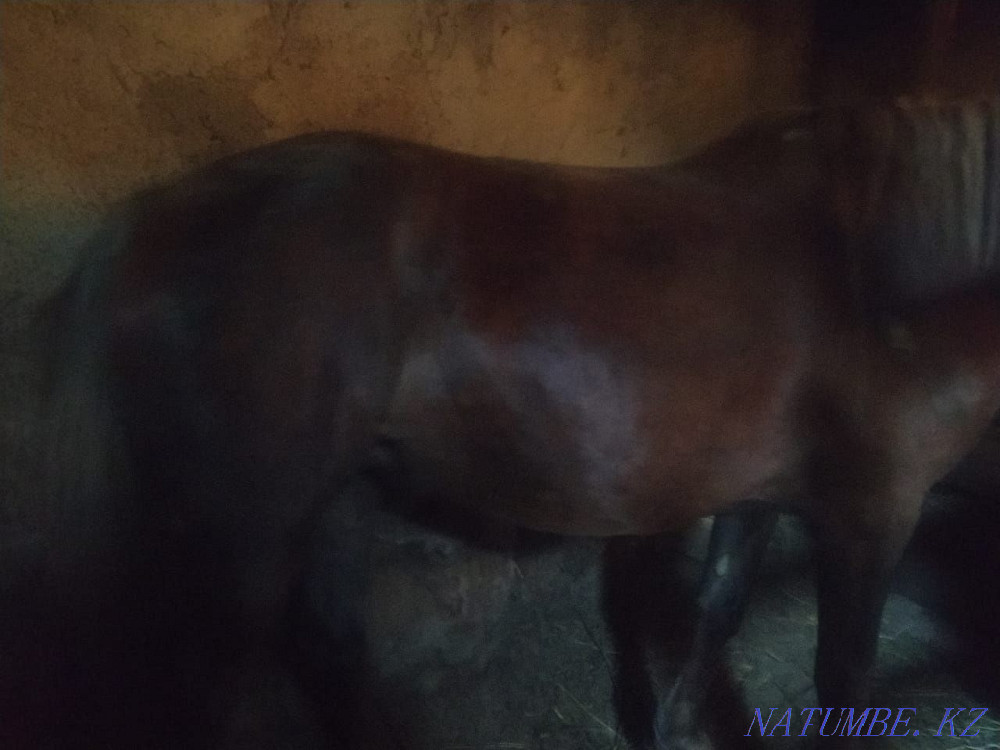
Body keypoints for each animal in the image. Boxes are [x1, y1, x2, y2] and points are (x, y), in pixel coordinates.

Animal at [11, 99, 1000, 748]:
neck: (876, 271)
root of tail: (150, 218)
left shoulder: (761, 493)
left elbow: (714, 613)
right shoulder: (871, 512)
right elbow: (845, 676)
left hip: (332, 501)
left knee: (331, 651)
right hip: (244, 542)